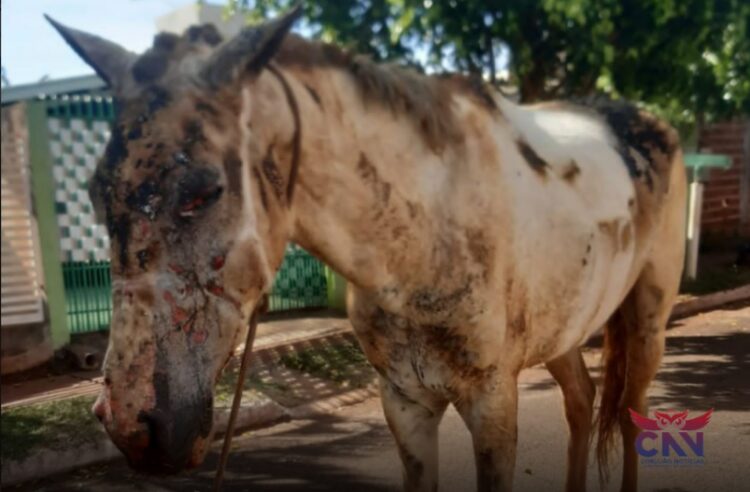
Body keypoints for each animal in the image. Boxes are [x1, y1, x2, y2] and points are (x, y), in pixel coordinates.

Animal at [50, 8, 688, 492]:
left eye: (203, 191)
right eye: (95, 194)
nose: (132, 425)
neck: (424, 238)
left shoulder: (493, 404)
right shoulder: (404, 405)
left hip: (647, 322)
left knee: (629, 414)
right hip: (564, 326)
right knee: (581, 402)